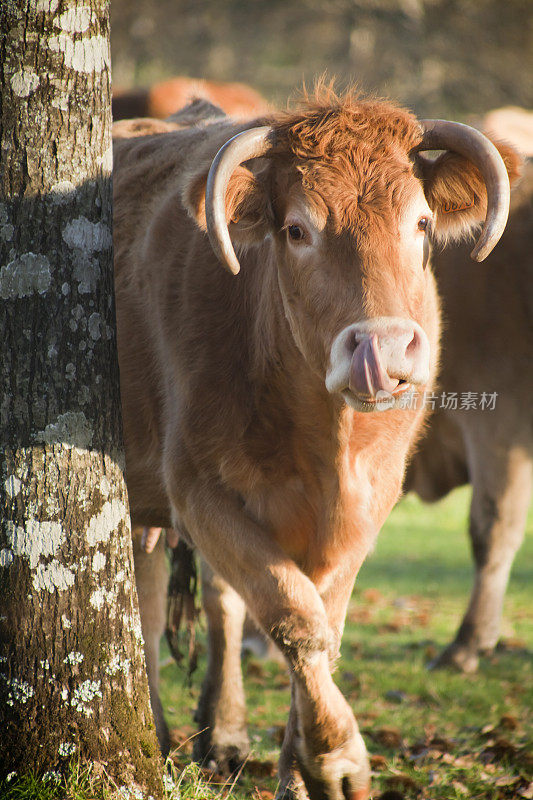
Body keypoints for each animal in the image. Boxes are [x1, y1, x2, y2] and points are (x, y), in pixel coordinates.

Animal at [113, 89, 516, 800]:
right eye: (298, 231)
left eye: (421, 223)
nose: (383, 348)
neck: (325, 442)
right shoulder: (199, 489)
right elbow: (294, 615)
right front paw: (337, 759)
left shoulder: (372, 499)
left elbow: (323, 620)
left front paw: (297, 771)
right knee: (159, 600)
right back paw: (166, 734)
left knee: (180, 594)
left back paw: (214, 733)